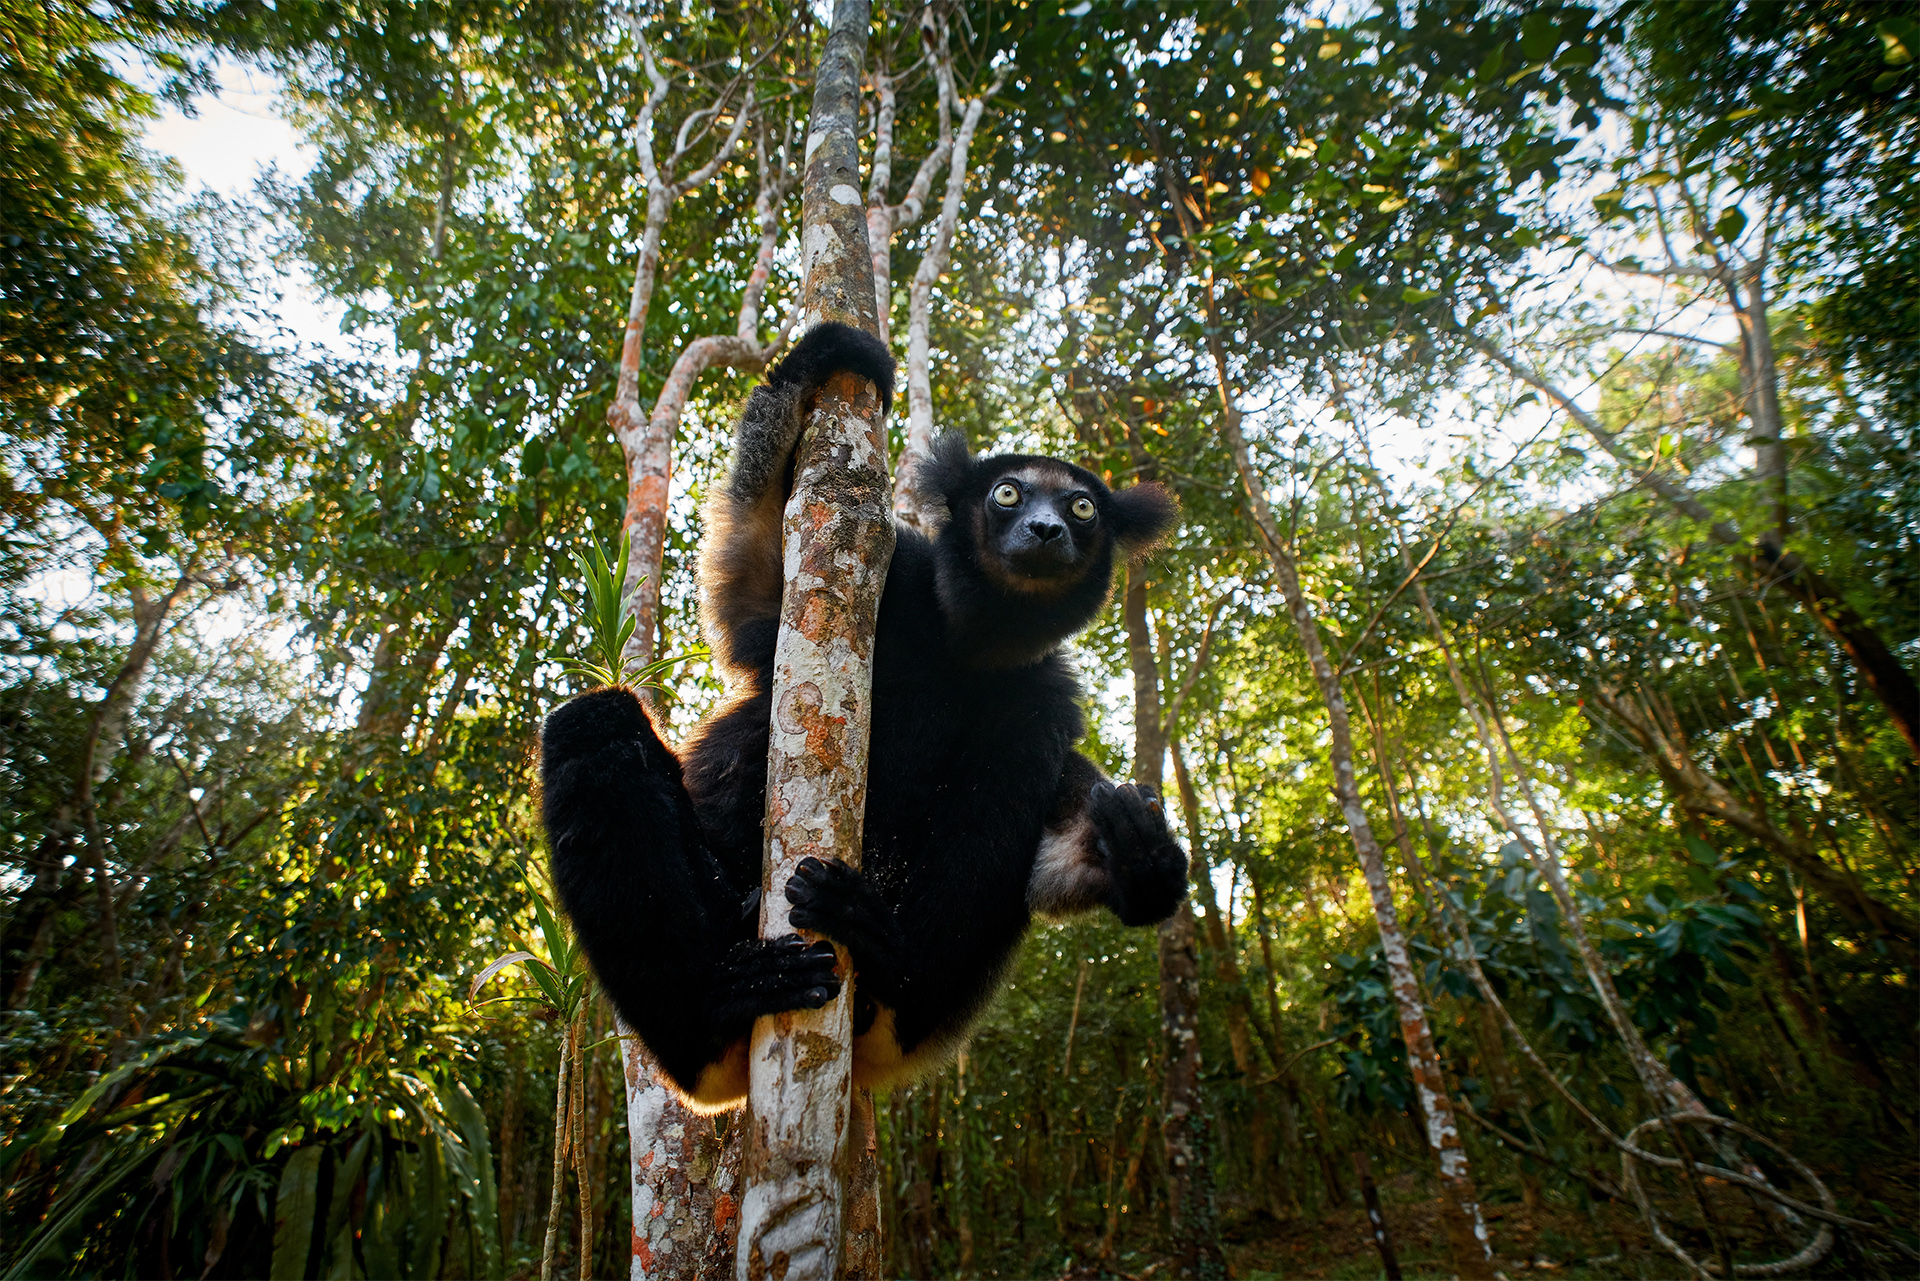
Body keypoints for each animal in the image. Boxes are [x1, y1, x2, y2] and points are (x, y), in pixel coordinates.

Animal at [541, 322, 1186, 1109]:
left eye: (1082, 509)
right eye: (1007, 494)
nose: (1044, 530)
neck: (963, 647)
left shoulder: (1047, 693)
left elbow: (1051, 835)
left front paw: (1142, 855)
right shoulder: (897, 576)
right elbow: (756, 589)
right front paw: (818, 359)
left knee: (1009, 770)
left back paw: (881, 950)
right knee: (592, 726)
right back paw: (721, 1013)